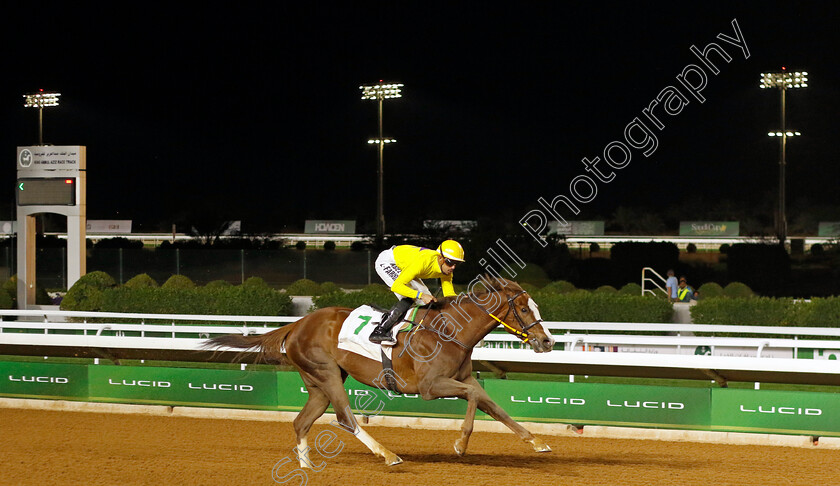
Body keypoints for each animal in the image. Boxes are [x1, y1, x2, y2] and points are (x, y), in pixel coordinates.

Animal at [203, 276, 576, 466]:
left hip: (319, 382)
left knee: (301, 421)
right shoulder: (429, 387)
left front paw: (537, 442)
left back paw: (306, 466)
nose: (547, 341)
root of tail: (297, 324)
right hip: (326, 374)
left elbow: (493, 405)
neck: (450, 331)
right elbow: (474, 397)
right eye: (525, 308)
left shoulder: (462, 378)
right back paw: (387, 454)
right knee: (345, 417)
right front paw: (460, 443)